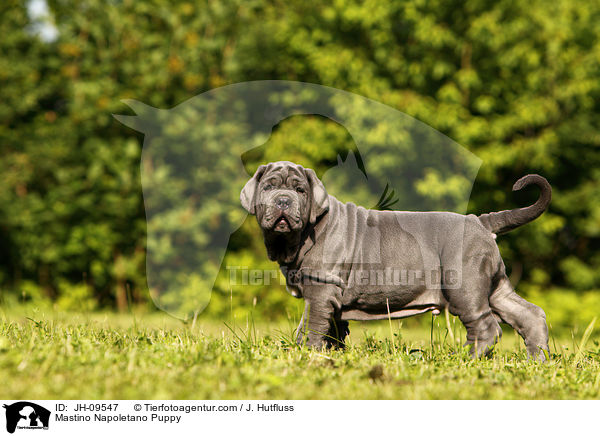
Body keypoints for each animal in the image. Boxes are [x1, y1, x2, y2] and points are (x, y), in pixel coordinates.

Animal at [240, 162, 552, 360]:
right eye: (267, 188)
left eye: (300, 191)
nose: (283, 201)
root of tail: (481, 221)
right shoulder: (333, 298)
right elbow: (334, 331)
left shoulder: (321, 289)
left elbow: (311, 326)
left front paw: (306, 354)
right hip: (496, 286)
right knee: (529, 314)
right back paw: (537, 361)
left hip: (465, 286)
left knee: (485, 327)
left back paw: (463, 359)